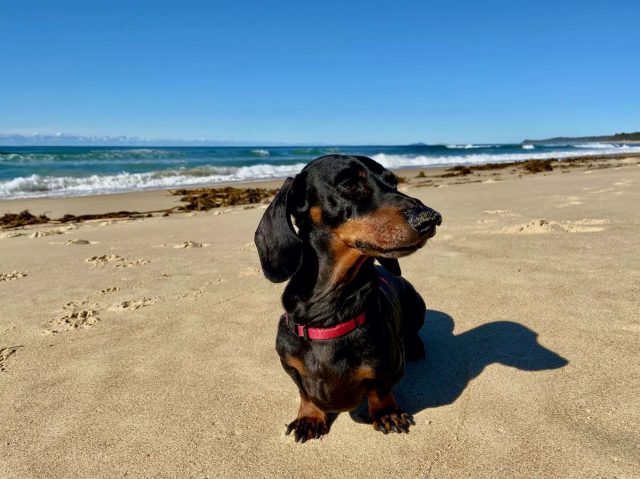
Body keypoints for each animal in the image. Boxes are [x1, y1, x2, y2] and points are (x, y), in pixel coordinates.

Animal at [254, 156, 440, 444]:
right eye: (349, 183)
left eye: (393, 181)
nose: (431, 219)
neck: (328, 313)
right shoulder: (290, 366)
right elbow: (305, 393)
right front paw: (309, 417)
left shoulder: (390, 366)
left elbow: (380, 390)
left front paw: (387, 413)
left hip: (417, 305)